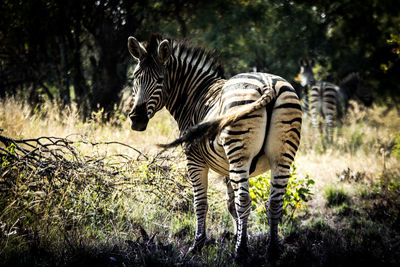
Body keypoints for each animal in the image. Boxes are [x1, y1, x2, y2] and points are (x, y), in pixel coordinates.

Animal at [126, 33, 302, 260]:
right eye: (135, 78)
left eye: (160, 80)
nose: (137, 120)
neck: (195, 94)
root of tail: (268, 85)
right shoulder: (227, 167)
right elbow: (230, 204)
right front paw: (238, 236)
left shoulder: (194, 159)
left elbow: (201, 203)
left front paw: (198, 245)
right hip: (282, 156)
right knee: (274, 201)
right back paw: (271, 250)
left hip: (239, 153)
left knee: (244, 200)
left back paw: (241, 253)